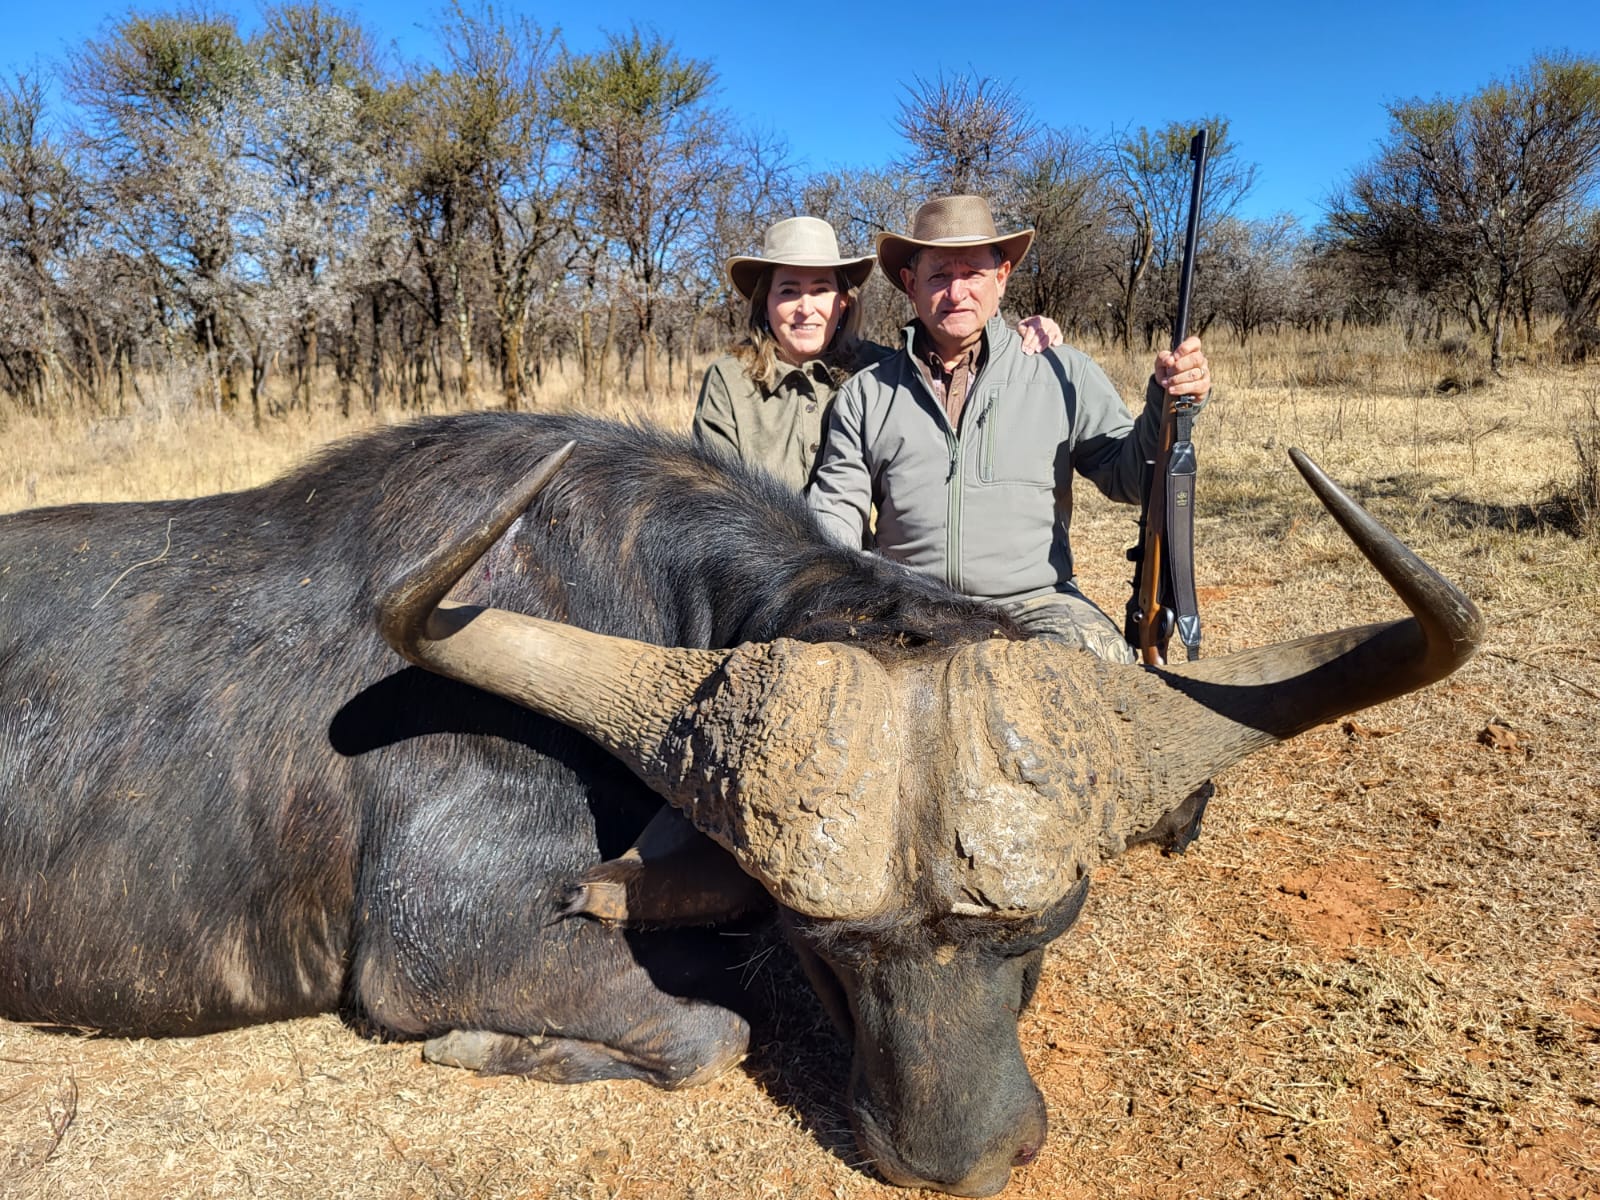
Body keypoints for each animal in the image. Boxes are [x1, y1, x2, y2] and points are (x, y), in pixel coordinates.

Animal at [0, 412, 1480, 1196]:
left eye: (1046, 935)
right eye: (822, 949)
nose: (959, 1161)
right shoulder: (437, 954)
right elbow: (710, 1028)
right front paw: (496, 1051)